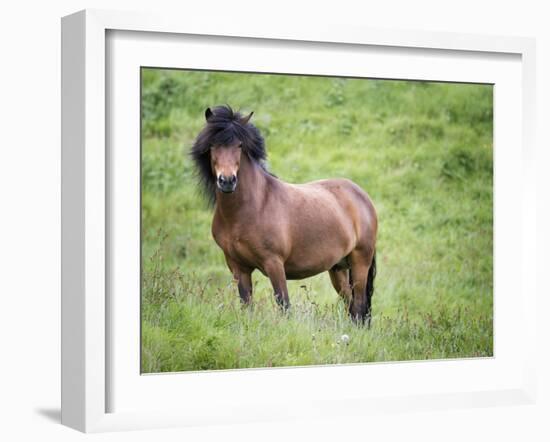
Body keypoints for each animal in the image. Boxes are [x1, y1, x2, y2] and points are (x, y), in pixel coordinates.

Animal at [191, 105, 380, 322]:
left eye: (239, 145)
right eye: (213, 145)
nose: (227, 181)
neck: (250, 209)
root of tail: (362, 196)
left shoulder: (274, 263)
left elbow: (284, 306)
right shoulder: (238, 267)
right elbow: (247, 306)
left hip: (360, 262)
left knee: (359, 306)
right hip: (338, 268)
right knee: (350, 306)